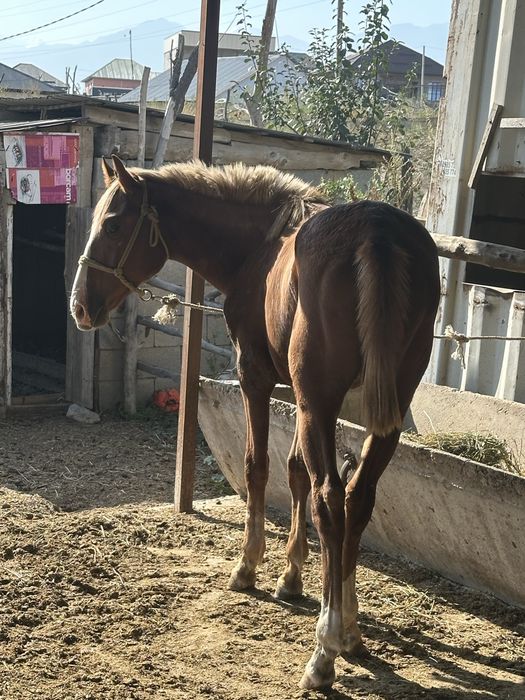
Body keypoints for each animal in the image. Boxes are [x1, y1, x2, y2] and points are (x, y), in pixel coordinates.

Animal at [71, 155, 440, 690]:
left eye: (114, 225)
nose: (80, 307)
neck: (258, 248)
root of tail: (378, 231)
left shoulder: (259, 380)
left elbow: (259, 467)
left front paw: (248, 566)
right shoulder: (308, 400)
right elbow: (295, 473)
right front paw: (291, 577)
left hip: (319, 402)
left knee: (331, 501)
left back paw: (324, 652)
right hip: (377, 414)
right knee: (356, 498)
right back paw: (349, 631)